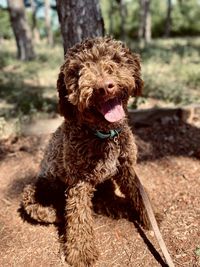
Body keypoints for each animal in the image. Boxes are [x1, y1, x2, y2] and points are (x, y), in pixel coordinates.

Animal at [21, 37, 150, 267]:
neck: (104, 134)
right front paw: (81, 252)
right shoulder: (79, 182)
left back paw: (119, 206)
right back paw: (58, 212)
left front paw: (149, 216)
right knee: (50, 209)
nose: (104, 87)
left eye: (115, 59)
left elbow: (136, 192)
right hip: (35, 189)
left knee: (102, 200)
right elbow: (78, 215)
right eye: (77, 70)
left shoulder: (126, 168)